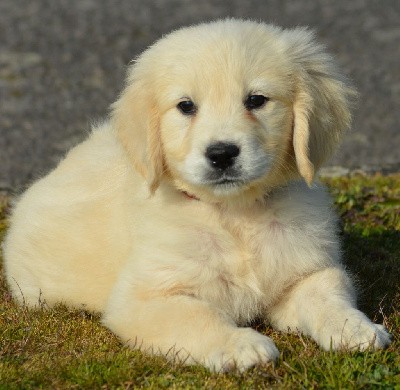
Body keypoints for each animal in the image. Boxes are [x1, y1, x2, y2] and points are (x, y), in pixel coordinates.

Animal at [3, 19, 390, 372]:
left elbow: (327, 296)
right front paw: (240, 345)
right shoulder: (144, 298)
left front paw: (355, 328)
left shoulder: (306, 273)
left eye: (256, 100)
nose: (221, 153)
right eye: (186, 106)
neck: (234, 214)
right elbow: (198, 317)